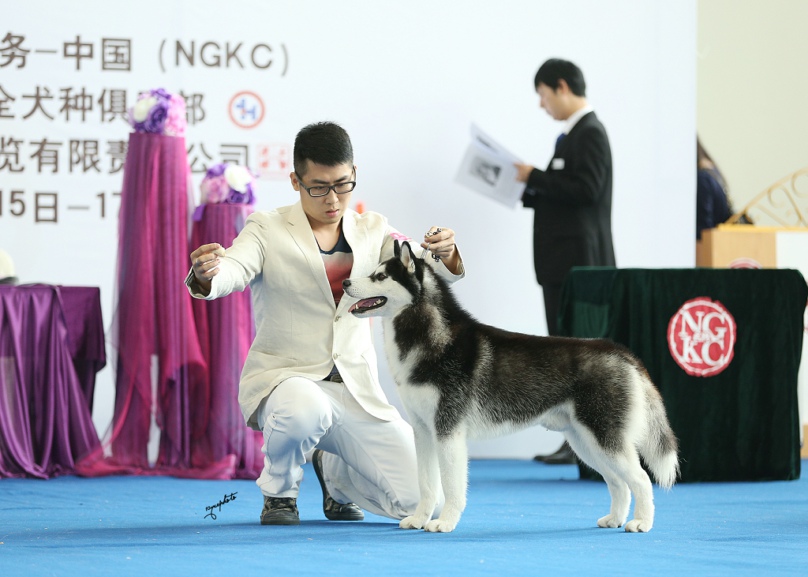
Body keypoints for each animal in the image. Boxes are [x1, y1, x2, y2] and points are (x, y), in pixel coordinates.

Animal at [342, 240, 679, 533]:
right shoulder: (424, 431)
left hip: (603, 437)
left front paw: (445, 522)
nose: (345, 282)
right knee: (619, 482)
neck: (429, 337)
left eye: (379, 276)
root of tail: (621, 352)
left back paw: (641, 523)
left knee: (641, 479)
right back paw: (615, 519)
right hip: (585, 442)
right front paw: (419, 519)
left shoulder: (448, 430)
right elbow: (426, 484)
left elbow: (450, 485)